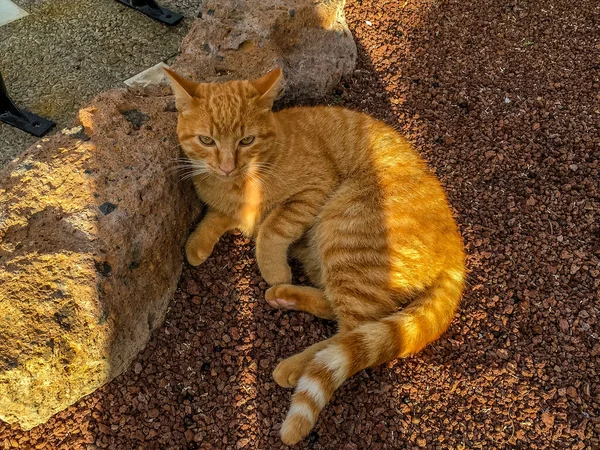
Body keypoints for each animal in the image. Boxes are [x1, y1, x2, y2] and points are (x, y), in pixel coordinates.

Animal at [165, 66, 468, 442]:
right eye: (206, 141)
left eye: (246, 141)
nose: (226, 165)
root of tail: (457, 250)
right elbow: (219, 216)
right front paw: (197, 243)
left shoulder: (312, 190)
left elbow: (272, 228)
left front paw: (271, 266)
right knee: (336, 310)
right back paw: (284, 296)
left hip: (345, 226)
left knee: (351, 332)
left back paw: (295, 362)